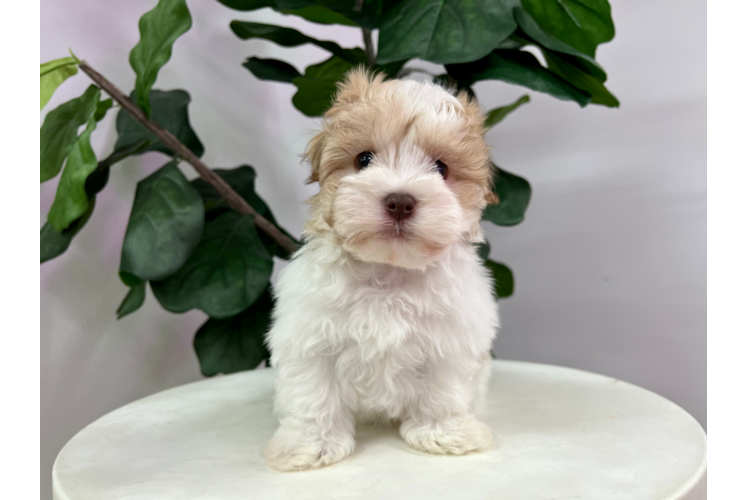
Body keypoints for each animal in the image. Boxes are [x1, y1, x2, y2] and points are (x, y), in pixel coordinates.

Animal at [266, 68, 500, 470]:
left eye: (441, 168)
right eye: (363, 159)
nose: (400, 201)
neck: (389, 272)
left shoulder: (452, 339)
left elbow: (444, 390)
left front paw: (443, 433)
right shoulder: (310, 337)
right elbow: (313, 394)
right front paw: (312, 445)